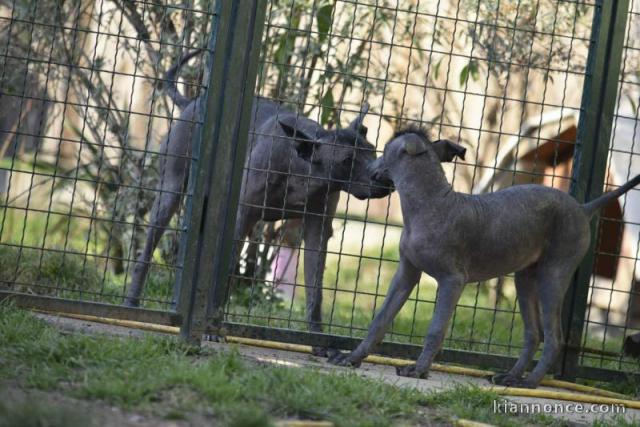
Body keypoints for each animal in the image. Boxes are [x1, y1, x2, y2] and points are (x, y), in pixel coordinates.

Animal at [123, 53, 392, 354]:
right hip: (169, 193)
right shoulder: (242, 218)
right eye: (347, 160)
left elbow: (315, 291)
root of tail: (191, 103)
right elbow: (228, 270)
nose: (387, 180)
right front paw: (213, 330)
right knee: (147, 251)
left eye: (372, 150)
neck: (299, 164)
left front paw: (319, 343)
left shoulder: (317, 230)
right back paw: (133, 305)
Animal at [328, 127, 640, 388]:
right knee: (533, 334)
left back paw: (529, 382)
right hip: (525, 279)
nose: (369, 171)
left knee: (554, 338)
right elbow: (379, 320)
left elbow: (435, 329)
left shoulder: (452, 281)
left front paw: (418, 370)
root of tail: (582, 207)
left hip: (553, 275)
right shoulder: (406, 273)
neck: (431, 202)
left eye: (383, 150)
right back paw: (510, 376)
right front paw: (352, 358)